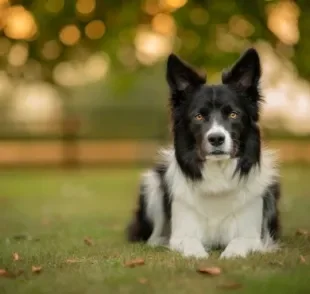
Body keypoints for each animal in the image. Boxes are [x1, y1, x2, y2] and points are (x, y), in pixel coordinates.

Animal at [124, 48, 280, 260]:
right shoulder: (183, 233)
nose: (216, 139)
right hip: (152, 183)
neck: (218, 175)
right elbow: (191, 246)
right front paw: (198, 256)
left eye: (233, 114)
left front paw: (229, 255)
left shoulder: (251, 235)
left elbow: (237, 245)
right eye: (198, 116)